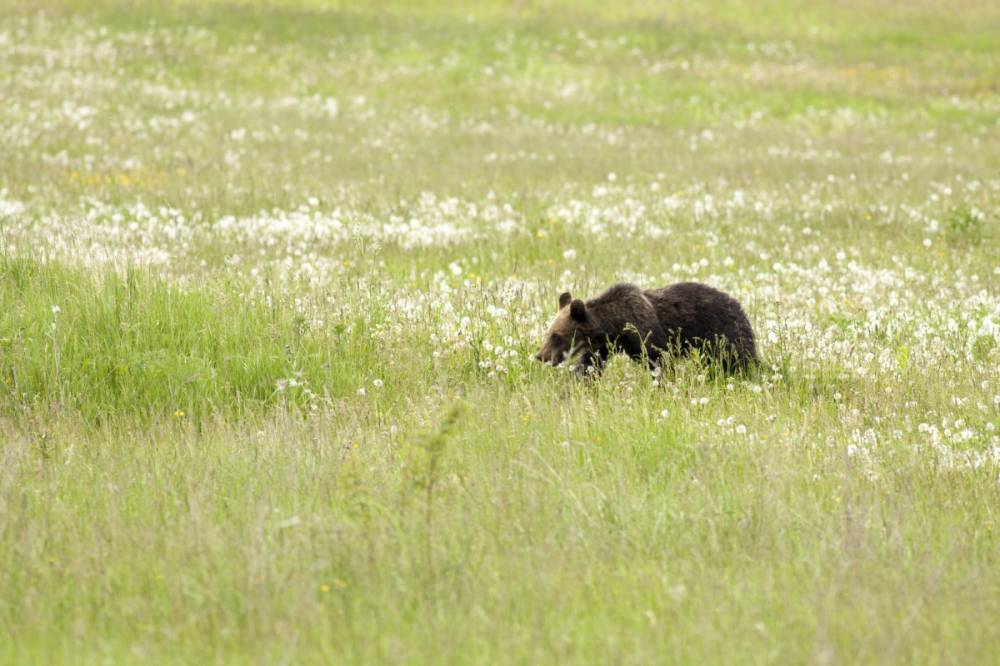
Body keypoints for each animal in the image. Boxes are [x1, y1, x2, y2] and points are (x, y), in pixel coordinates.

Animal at [536, 280, 752, 374]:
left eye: (556, 335)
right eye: (548, 333)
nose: (540, 356)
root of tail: (739, 305)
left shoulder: (645, 333)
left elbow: (660, 361)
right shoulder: (603, 347)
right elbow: (588, 366)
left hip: (722, 333)